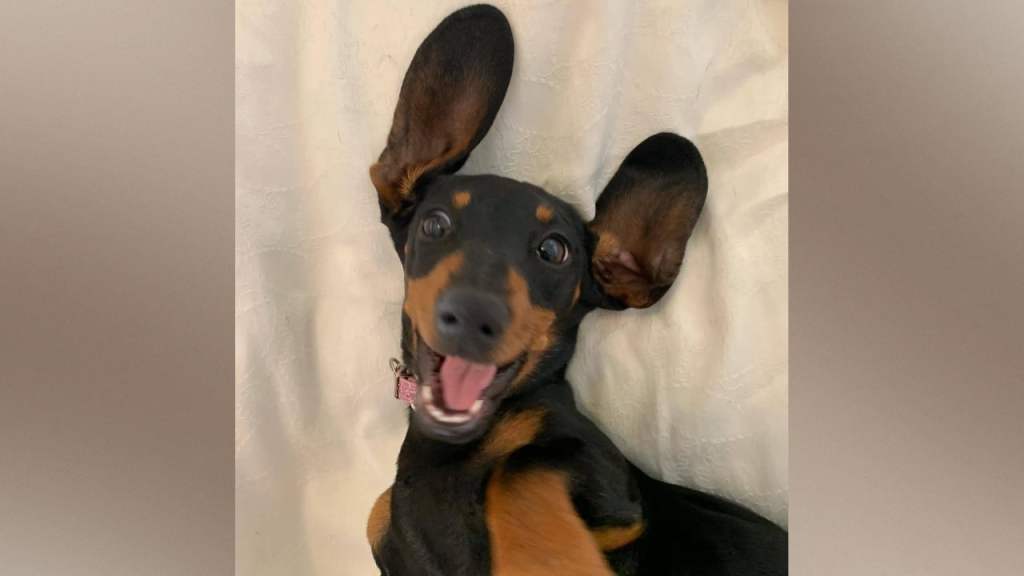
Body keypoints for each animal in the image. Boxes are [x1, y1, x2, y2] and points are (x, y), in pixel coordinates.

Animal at [364, 5, 787, 575]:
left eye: (554, 250)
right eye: (434, 224)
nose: (473, 317)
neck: (452, 448)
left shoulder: (613, 485)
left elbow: (518, 474)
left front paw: (548, 559)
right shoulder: (382, 523)